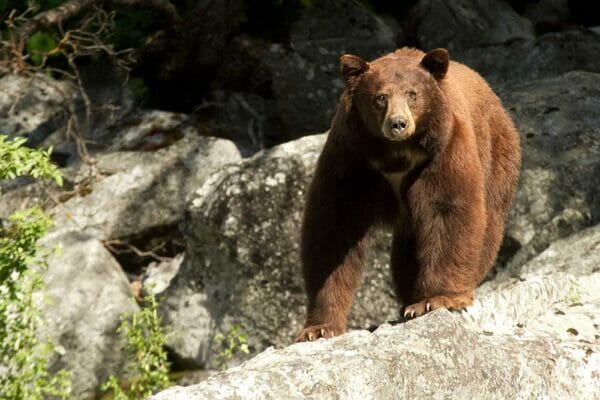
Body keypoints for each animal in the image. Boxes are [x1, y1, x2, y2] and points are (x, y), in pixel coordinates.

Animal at [296, 47, 520, 340]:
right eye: (380, 97)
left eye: (412, 94)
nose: (398, 124)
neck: (396, 155)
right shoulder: (352, 159)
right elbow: (333, 228)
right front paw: (318, 328)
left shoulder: (442, 152)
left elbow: (448, 211)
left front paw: (435, 299)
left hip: (496, 156)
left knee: (488, 226)